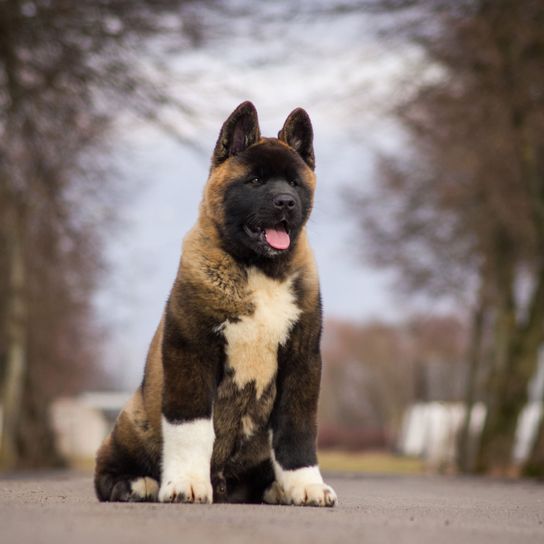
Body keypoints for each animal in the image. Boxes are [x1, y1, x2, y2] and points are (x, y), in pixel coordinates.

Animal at [95, 101, 338, 506]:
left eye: (294, 183)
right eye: (255, 181)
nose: (286, 202)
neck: (258, 270)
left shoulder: (302, 360)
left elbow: (298, 430)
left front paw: (306, 484)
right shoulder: (192, 352)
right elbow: (192, 427)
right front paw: (186, 483)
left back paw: (275, 488)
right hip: (133, 417)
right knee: (106, 471)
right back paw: (135, 484)